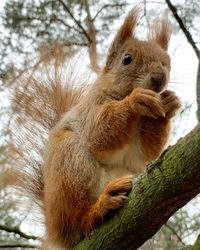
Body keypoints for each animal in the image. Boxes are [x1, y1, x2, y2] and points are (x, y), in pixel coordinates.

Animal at [7, 7, 180, 250]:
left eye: (167, 62)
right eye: (127, 59)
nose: (159, 77)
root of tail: (55, 232)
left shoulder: (141, 150)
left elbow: (145, 153)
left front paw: (170, 102)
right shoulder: (90, 109)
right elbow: (99, 132)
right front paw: (136, 100)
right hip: (70, 167)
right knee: (79, 219)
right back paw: (100, 206)